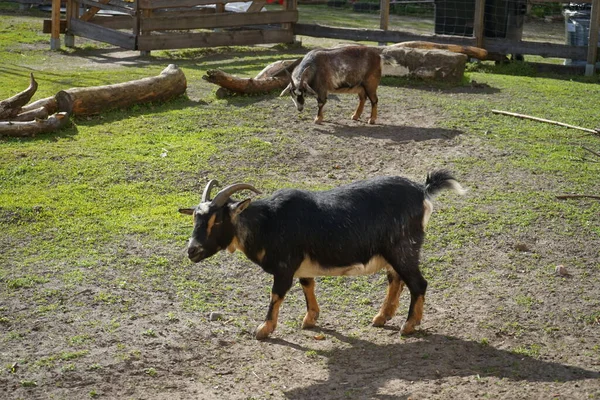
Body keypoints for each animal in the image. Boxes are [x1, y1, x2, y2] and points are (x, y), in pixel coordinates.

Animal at [178, 170, 464, 340]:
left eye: (216, 220)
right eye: (195, 218)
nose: (192, 250)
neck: (268, 223)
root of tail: (422, 191)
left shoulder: (284, 266)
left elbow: (276, 295)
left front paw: (264, 329)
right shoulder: (301, 266)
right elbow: (308, 285)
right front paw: (310, 319)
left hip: (404, 248)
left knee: (418, 283)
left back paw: (408, 325)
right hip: (394, 251)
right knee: (396, 280)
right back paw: (382, 317)